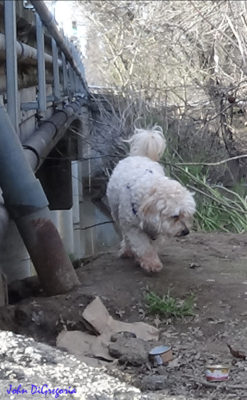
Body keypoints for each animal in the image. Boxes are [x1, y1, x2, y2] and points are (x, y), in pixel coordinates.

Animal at [107, 126, 196, 274]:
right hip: (116, 213)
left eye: (186, 215)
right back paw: (127, 250)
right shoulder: (133, 228)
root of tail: (141, 156)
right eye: (175, 216)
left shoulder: (158, 231)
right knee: (124, 234)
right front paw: (151, 263)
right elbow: (143, 246)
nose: (186, 231)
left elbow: (153, 245)